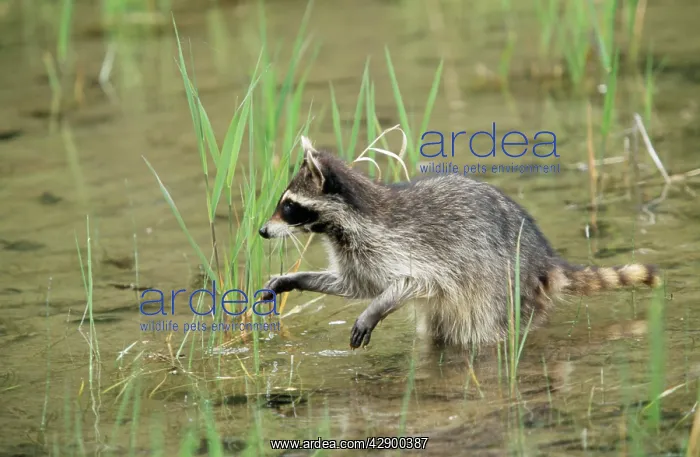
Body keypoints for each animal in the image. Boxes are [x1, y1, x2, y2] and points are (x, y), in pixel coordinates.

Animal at [258, 137, 662, 350]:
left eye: (288, 206)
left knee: (488, 329)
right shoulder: (359, 251)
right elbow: (356, 284)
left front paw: (376, 309)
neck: (339, 224)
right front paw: (292, 279)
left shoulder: (413, 248)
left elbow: (412, 282)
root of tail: (544, 258)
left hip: (502, 291)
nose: (262, 231)